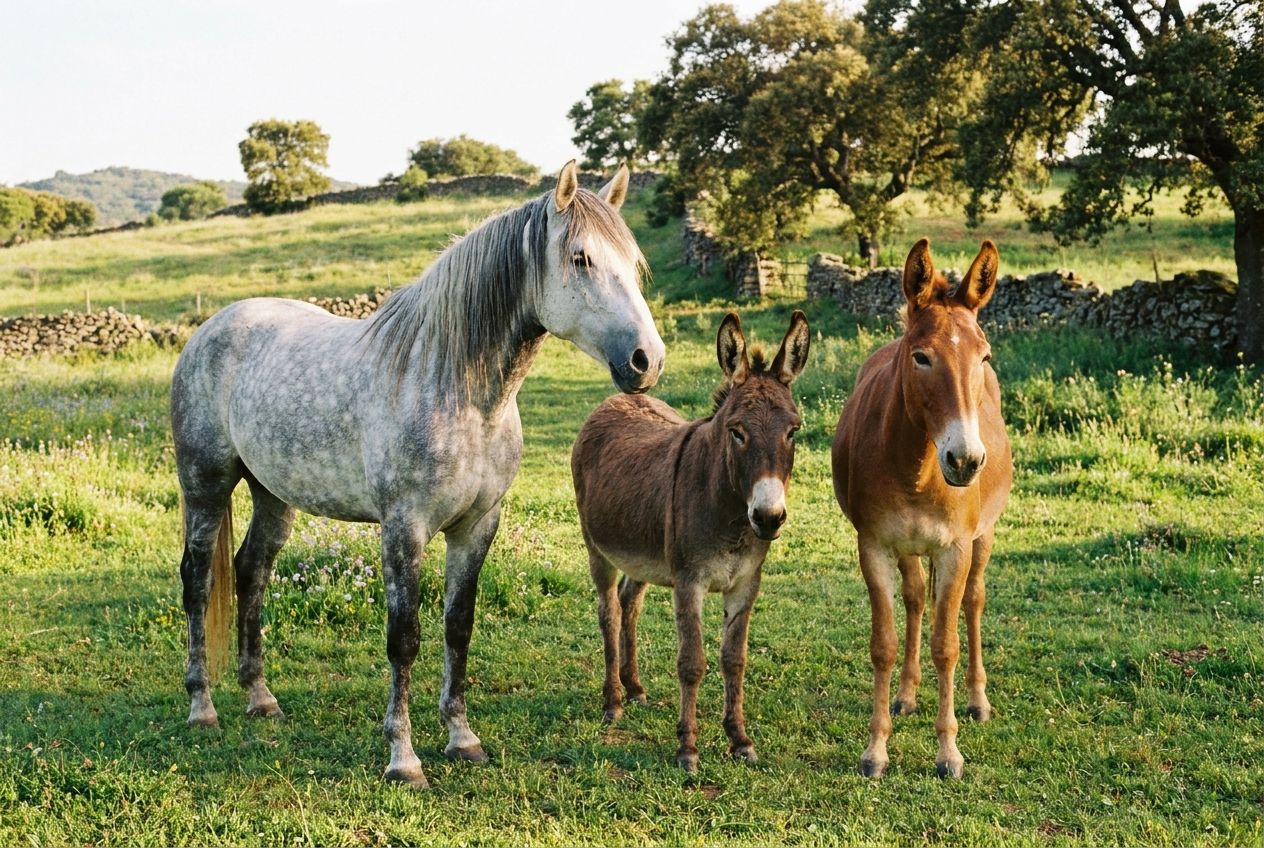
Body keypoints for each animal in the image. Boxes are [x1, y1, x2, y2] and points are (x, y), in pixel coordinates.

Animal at [171, 161, 665, 789]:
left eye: (633, 261)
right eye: (581, 258)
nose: (647, 360)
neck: (457, 388)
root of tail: (210, 328)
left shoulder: (477, 525)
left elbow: (459, 627)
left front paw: (462, 737)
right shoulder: (403, 528)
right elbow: (403, 639)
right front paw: (403, 759)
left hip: (273, 497)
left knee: (250, 572)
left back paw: (261, 700)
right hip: (205, 485)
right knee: (198, 580)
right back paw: (201, 707)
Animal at [572, 311, 810, 772]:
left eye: (793, 431)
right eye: (737, 432)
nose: (769, 517)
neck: (732, 517)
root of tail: (613, 400)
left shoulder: (744, 584)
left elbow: (734, 660)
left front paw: (740, 739)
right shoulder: (689, 581)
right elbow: (692, 663)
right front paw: (688, 748)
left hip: (643, 553)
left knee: (630, 601)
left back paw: (634, 686)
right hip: (598, 549)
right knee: (609, 611)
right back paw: (613, 701)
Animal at [831, 239, 1012, 779]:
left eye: (983, 356)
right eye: (921, 357)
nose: (966, 461)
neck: (918, 467)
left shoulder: (954, 549)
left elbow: (945, 646)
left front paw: (948, 752)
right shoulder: (873, 546)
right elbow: (884, 645)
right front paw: (876, 750)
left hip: (982, 539)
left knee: (973, 601)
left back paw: (977, 701)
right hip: (908, 548)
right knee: (913, 600)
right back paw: (907, 696)